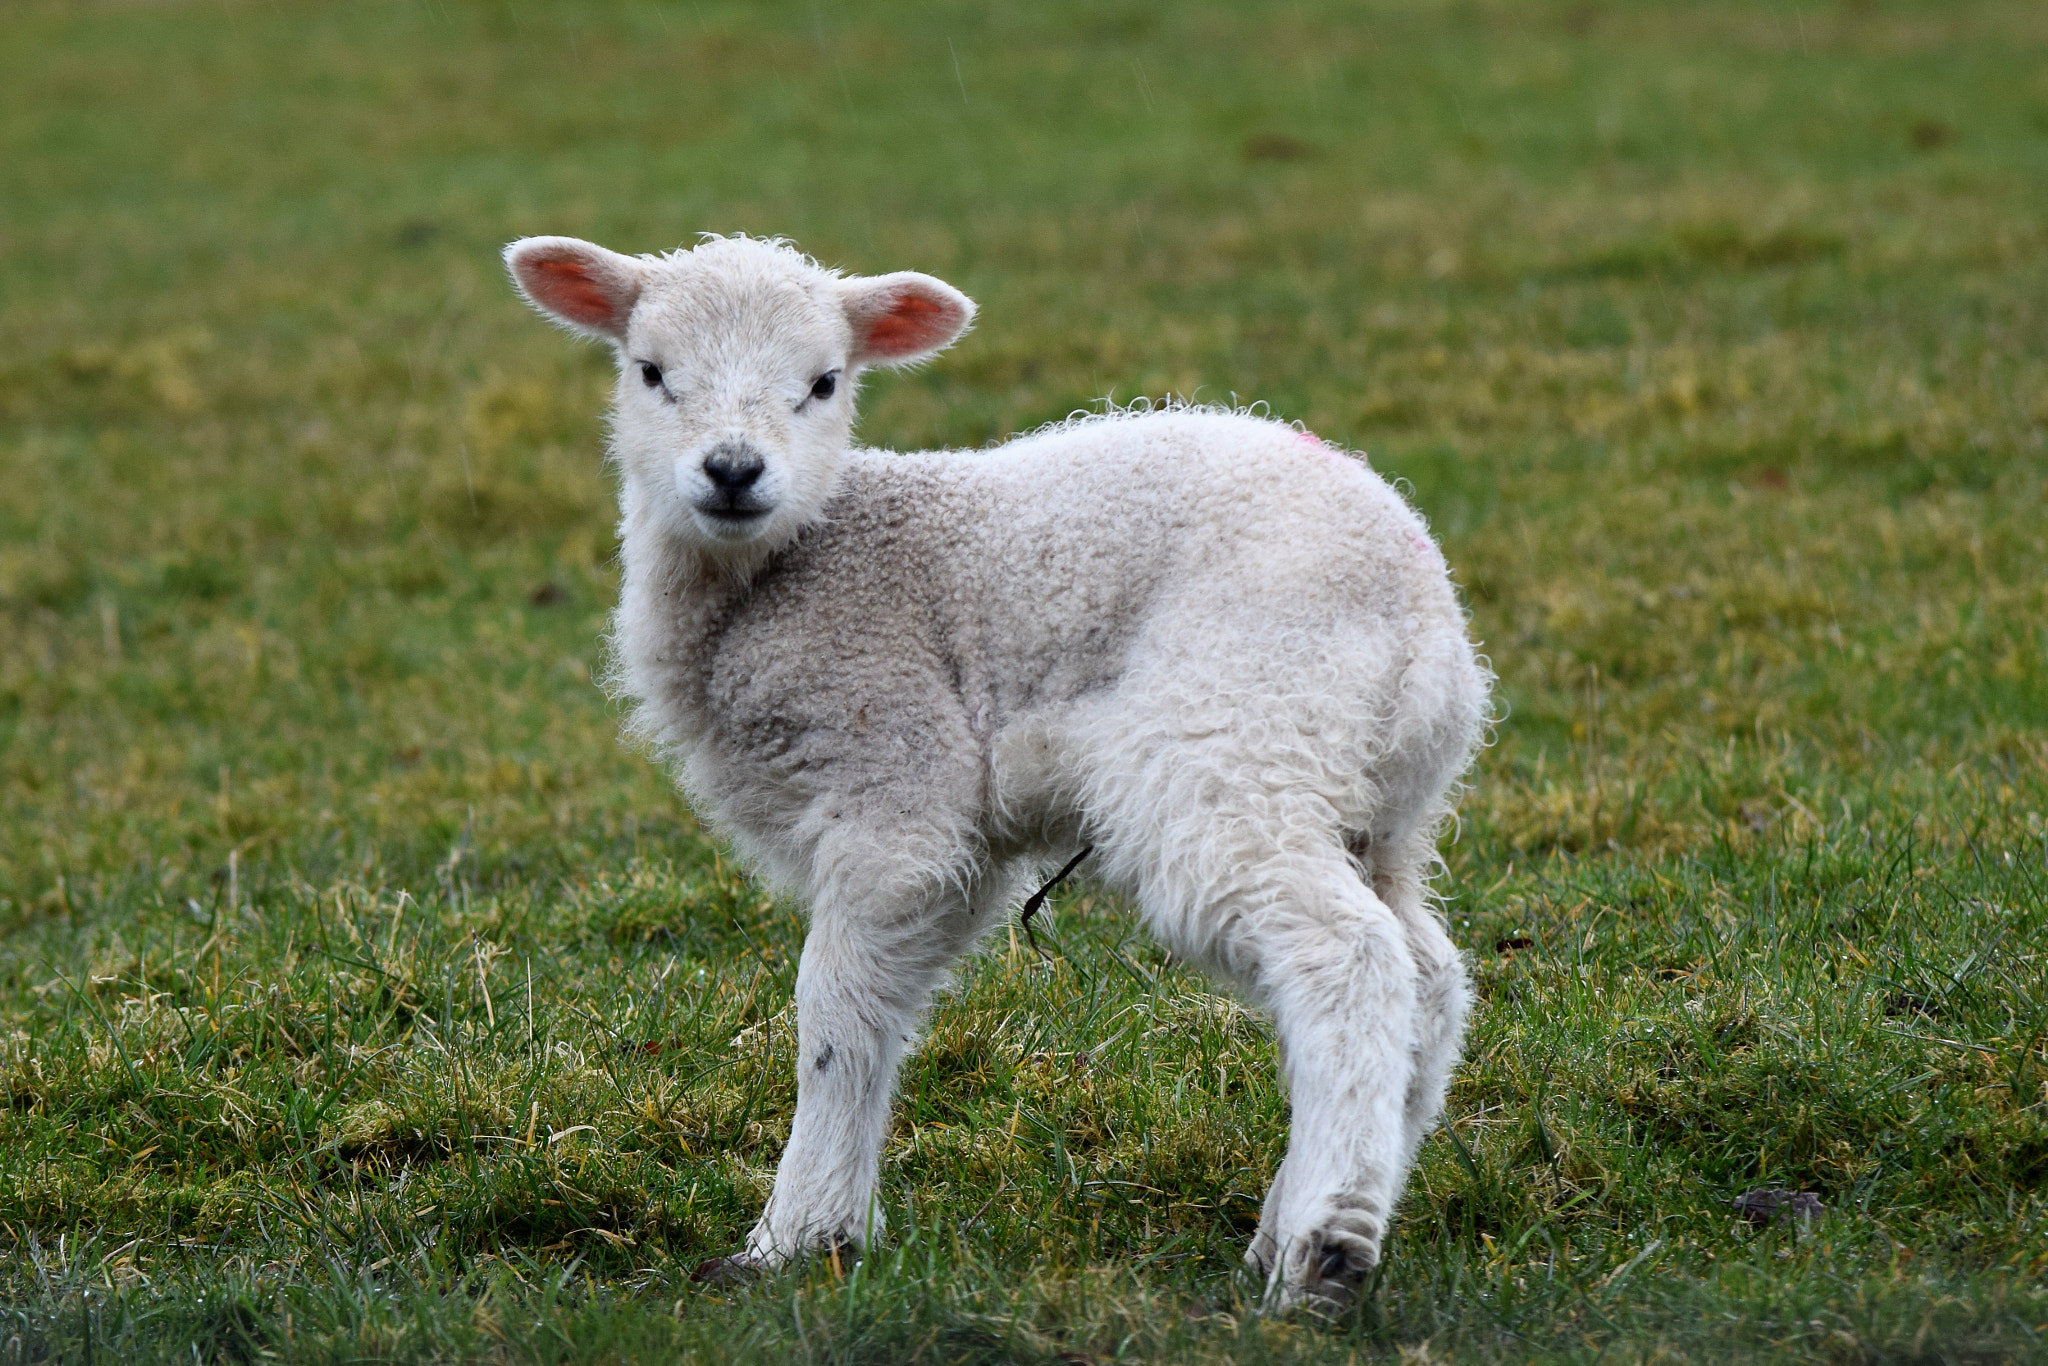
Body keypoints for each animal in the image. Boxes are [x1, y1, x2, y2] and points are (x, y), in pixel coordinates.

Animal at [502, 232, 1490, 1309]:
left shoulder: (897, 778)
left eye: (823, 381)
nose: (732, 470)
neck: (791, 565)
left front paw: (794, 1239)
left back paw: (1326, 1252)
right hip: (1372, 800)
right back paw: (1293, 1224)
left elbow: (835, 1012)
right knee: (1428, 977)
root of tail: (1422, 609)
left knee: (1346, 956)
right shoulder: (957, 838)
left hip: (1236, 734)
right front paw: (829, 1228)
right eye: (649, 371)